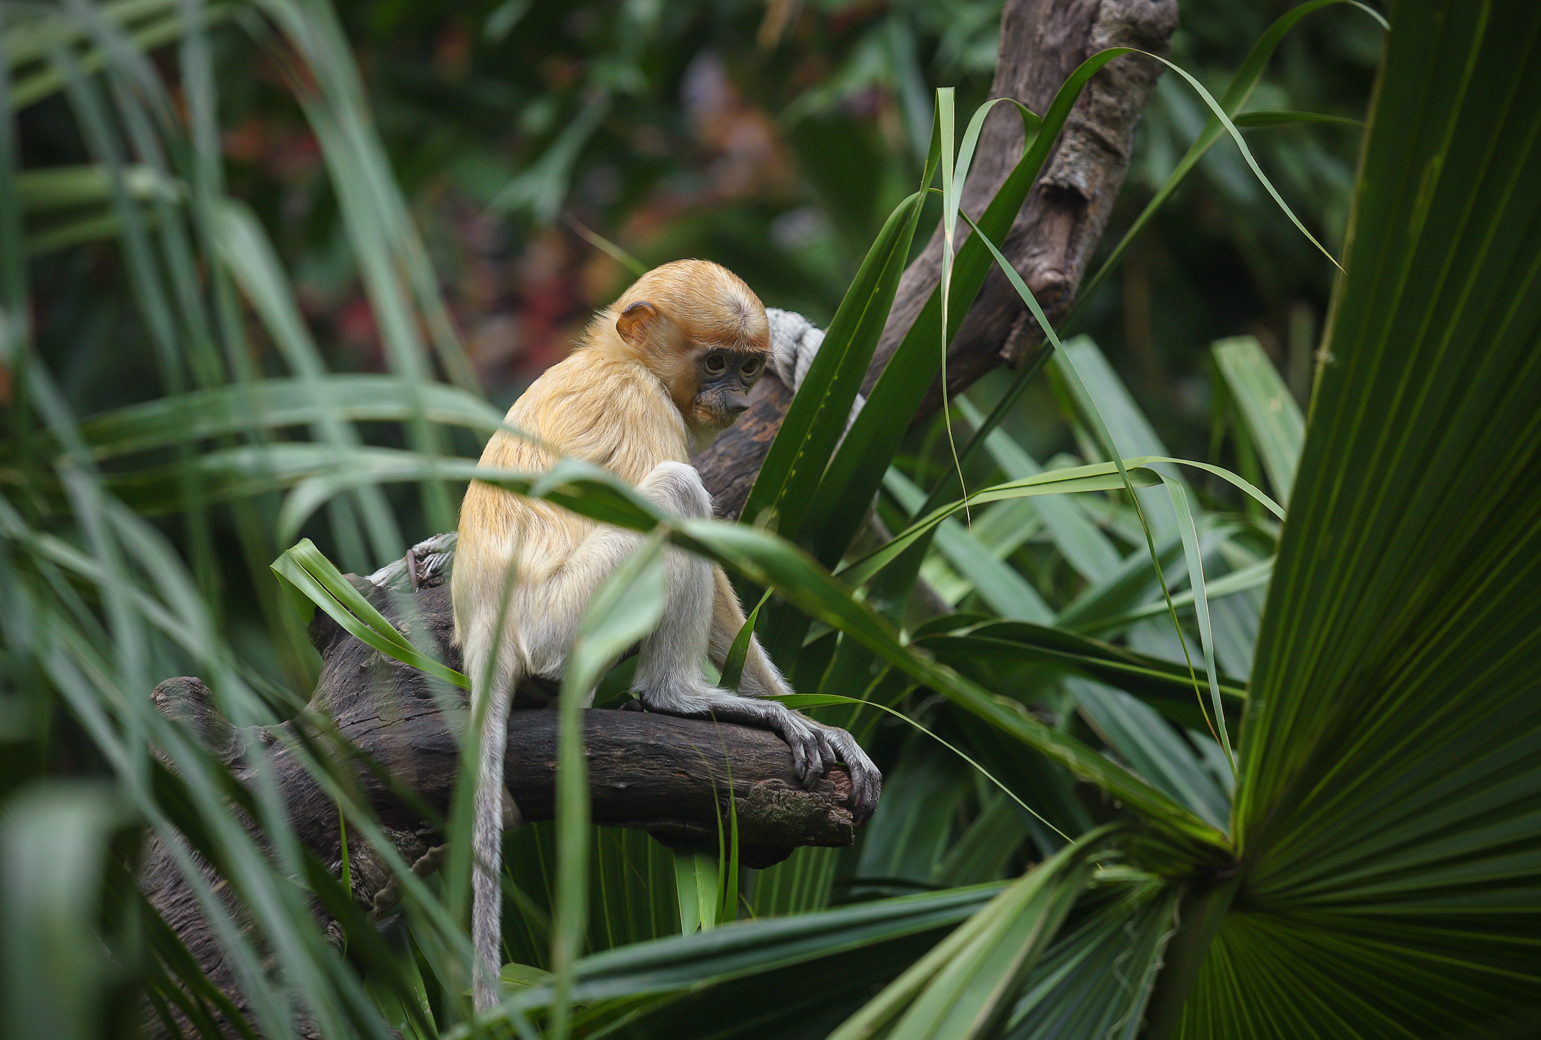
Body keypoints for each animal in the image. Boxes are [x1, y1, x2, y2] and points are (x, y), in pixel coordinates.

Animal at [452, 259, 882, 1012]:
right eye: (713, 362)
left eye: (746, 366)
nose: (735, 399)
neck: (619, 358)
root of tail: (487, 635)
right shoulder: (641, 405)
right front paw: (788, 717)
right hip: (561, 621)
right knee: (676, 490)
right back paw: (674, 696)